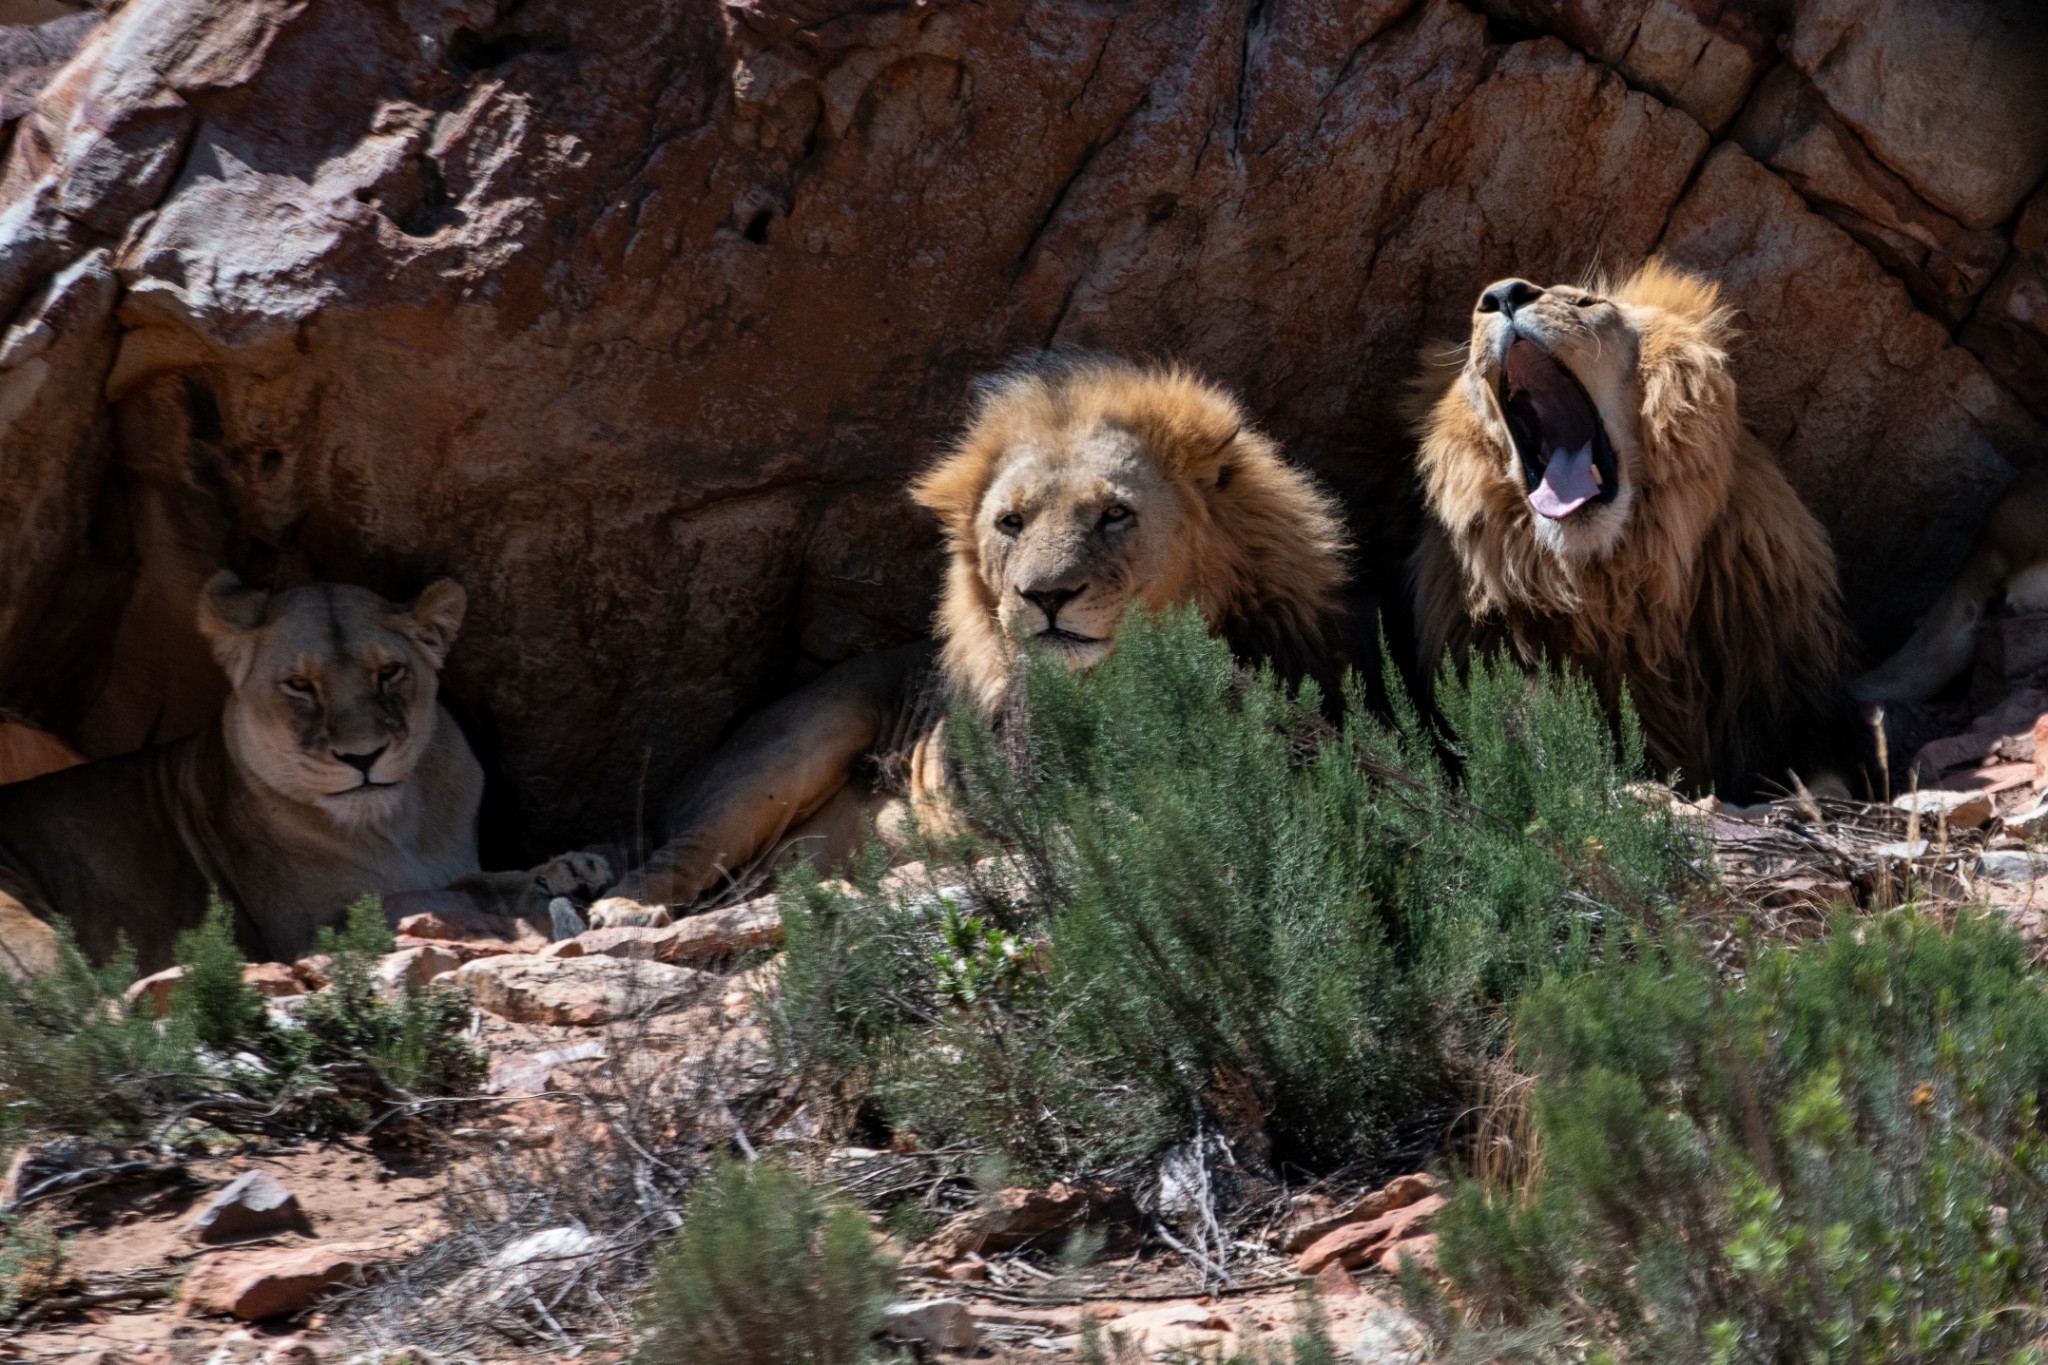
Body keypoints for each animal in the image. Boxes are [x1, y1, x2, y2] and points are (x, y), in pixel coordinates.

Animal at [0, 573, 606, 978]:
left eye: (389, 672)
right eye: (299, 685)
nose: (363, 758)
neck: (396, 827)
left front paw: (572, 869)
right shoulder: (307, 926)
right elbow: (437, 893)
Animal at [598, 356, 1351, 908]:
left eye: (1114, 513)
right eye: (1010, 523)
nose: (1046, 596)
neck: (1118, 681)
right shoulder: (1022, 787)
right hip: (790, 746)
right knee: (678, 855)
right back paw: (625, 912)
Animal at [1417, 258, 1867, 802]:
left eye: (1587, 302)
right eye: (1469, 344)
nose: (1503, 294)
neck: (1614, 586)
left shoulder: (1796, 707)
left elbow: (1826, 782)